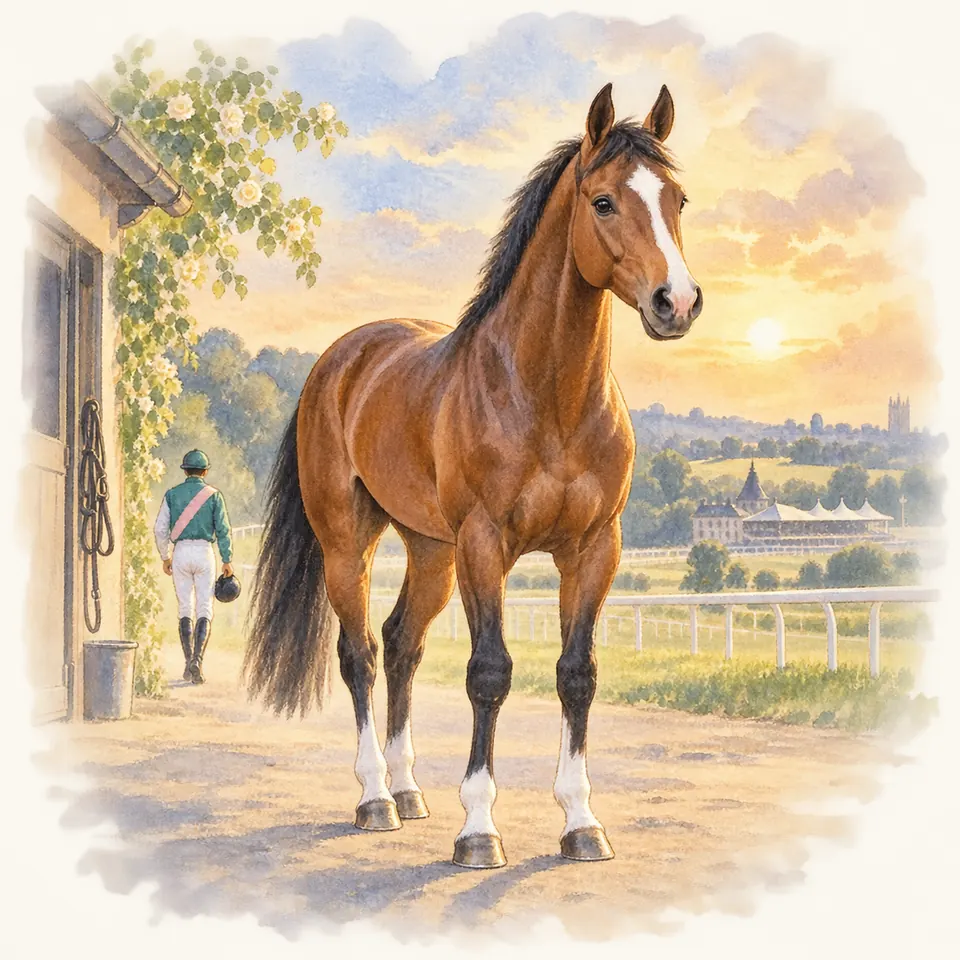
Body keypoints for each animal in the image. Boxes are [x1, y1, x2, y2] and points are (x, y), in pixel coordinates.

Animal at [244, 83, 702, 869]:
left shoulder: (594, 550)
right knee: (361, 655)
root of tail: (340, 361)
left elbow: (576, 674)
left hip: (431, 550)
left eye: (677, 199)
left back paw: (407, 791)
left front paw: (582, 823)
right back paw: (375, 798)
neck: (546, 398)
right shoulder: (486, 545)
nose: (676, 302)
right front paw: (480, 831)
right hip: (349, 544)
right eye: (604, 201)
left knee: (402, 643)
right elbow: (489, 674)